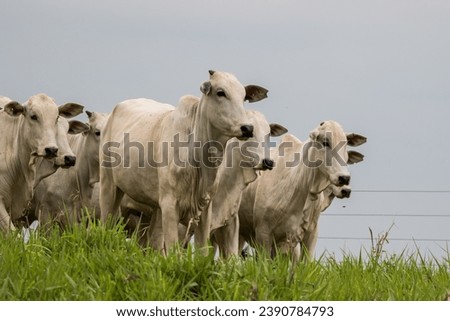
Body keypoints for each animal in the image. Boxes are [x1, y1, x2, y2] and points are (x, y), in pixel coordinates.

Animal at [100, 69, 268, 250]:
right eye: (220, 92)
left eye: (243, 97)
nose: (247, 128)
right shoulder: (170, 206)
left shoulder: (204, 209)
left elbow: (202, 249)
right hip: (109, 186)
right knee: (107, 223)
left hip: (154, 206)